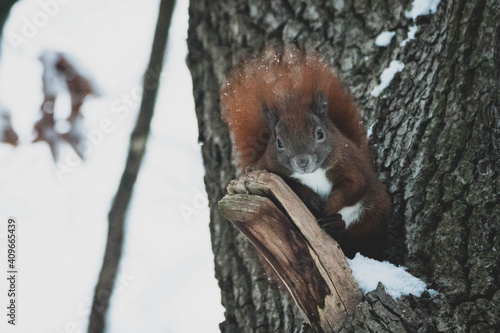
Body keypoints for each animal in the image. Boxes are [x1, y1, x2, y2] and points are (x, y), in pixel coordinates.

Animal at [222, 46, 390, 260]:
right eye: (279, 142)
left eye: (320, 133)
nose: (302, 162)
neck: (313, 175)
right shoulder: (266, 168)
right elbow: (293, 185)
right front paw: (311, 198)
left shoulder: (351, 162)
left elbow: (355, 184)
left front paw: (329, 206)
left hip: (372, 215)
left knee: (360, 240)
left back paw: (336, 226)